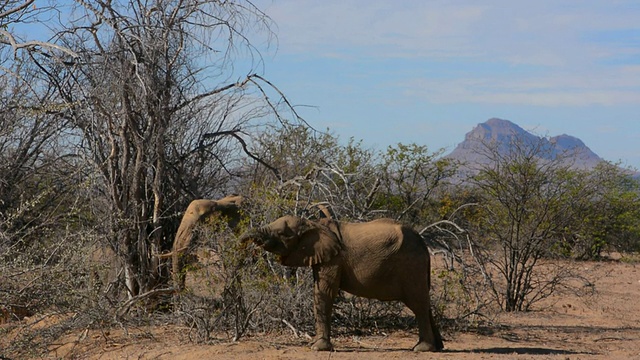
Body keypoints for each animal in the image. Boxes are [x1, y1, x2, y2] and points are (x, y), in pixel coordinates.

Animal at [238, 215, 442, 352]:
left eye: (281, 234)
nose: (243, 246)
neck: (313, 224)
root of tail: (424, 244)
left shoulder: (333, 259)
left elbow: (324, 294)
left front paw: (318, 348)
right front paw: (314, 345)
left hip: (410, 266)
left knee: (418, 304)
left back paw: (422, 349)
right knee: (424, 303)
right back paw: (438, 347)